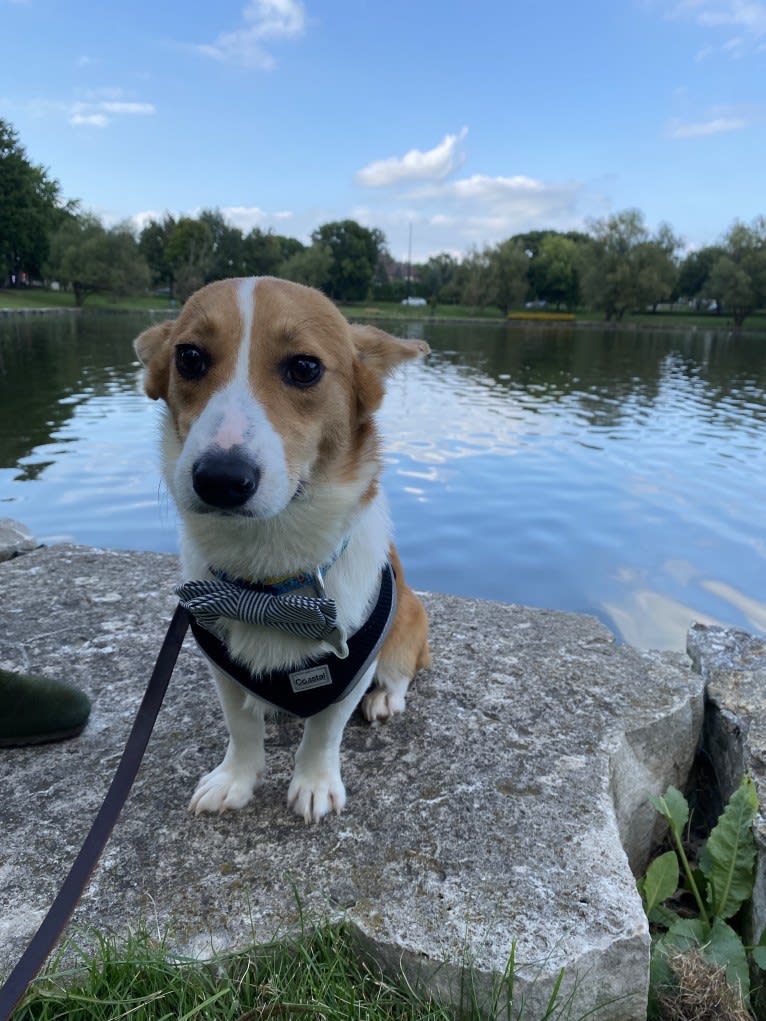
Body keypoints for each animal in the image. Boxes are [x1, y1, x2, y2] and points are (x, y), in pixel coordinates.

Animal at [136, 277, 433, 820]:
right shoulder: (220, 666)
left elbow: (324, 730)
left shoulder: (353, 667)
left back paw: (386, 697)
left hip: (409, 619)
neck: (267, 585)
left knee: (403, 669)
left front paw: (313, 784)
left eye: (304, 367)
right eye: (189, 358)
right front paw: (235, 779)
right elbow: (240, 726)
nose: (221, 479)